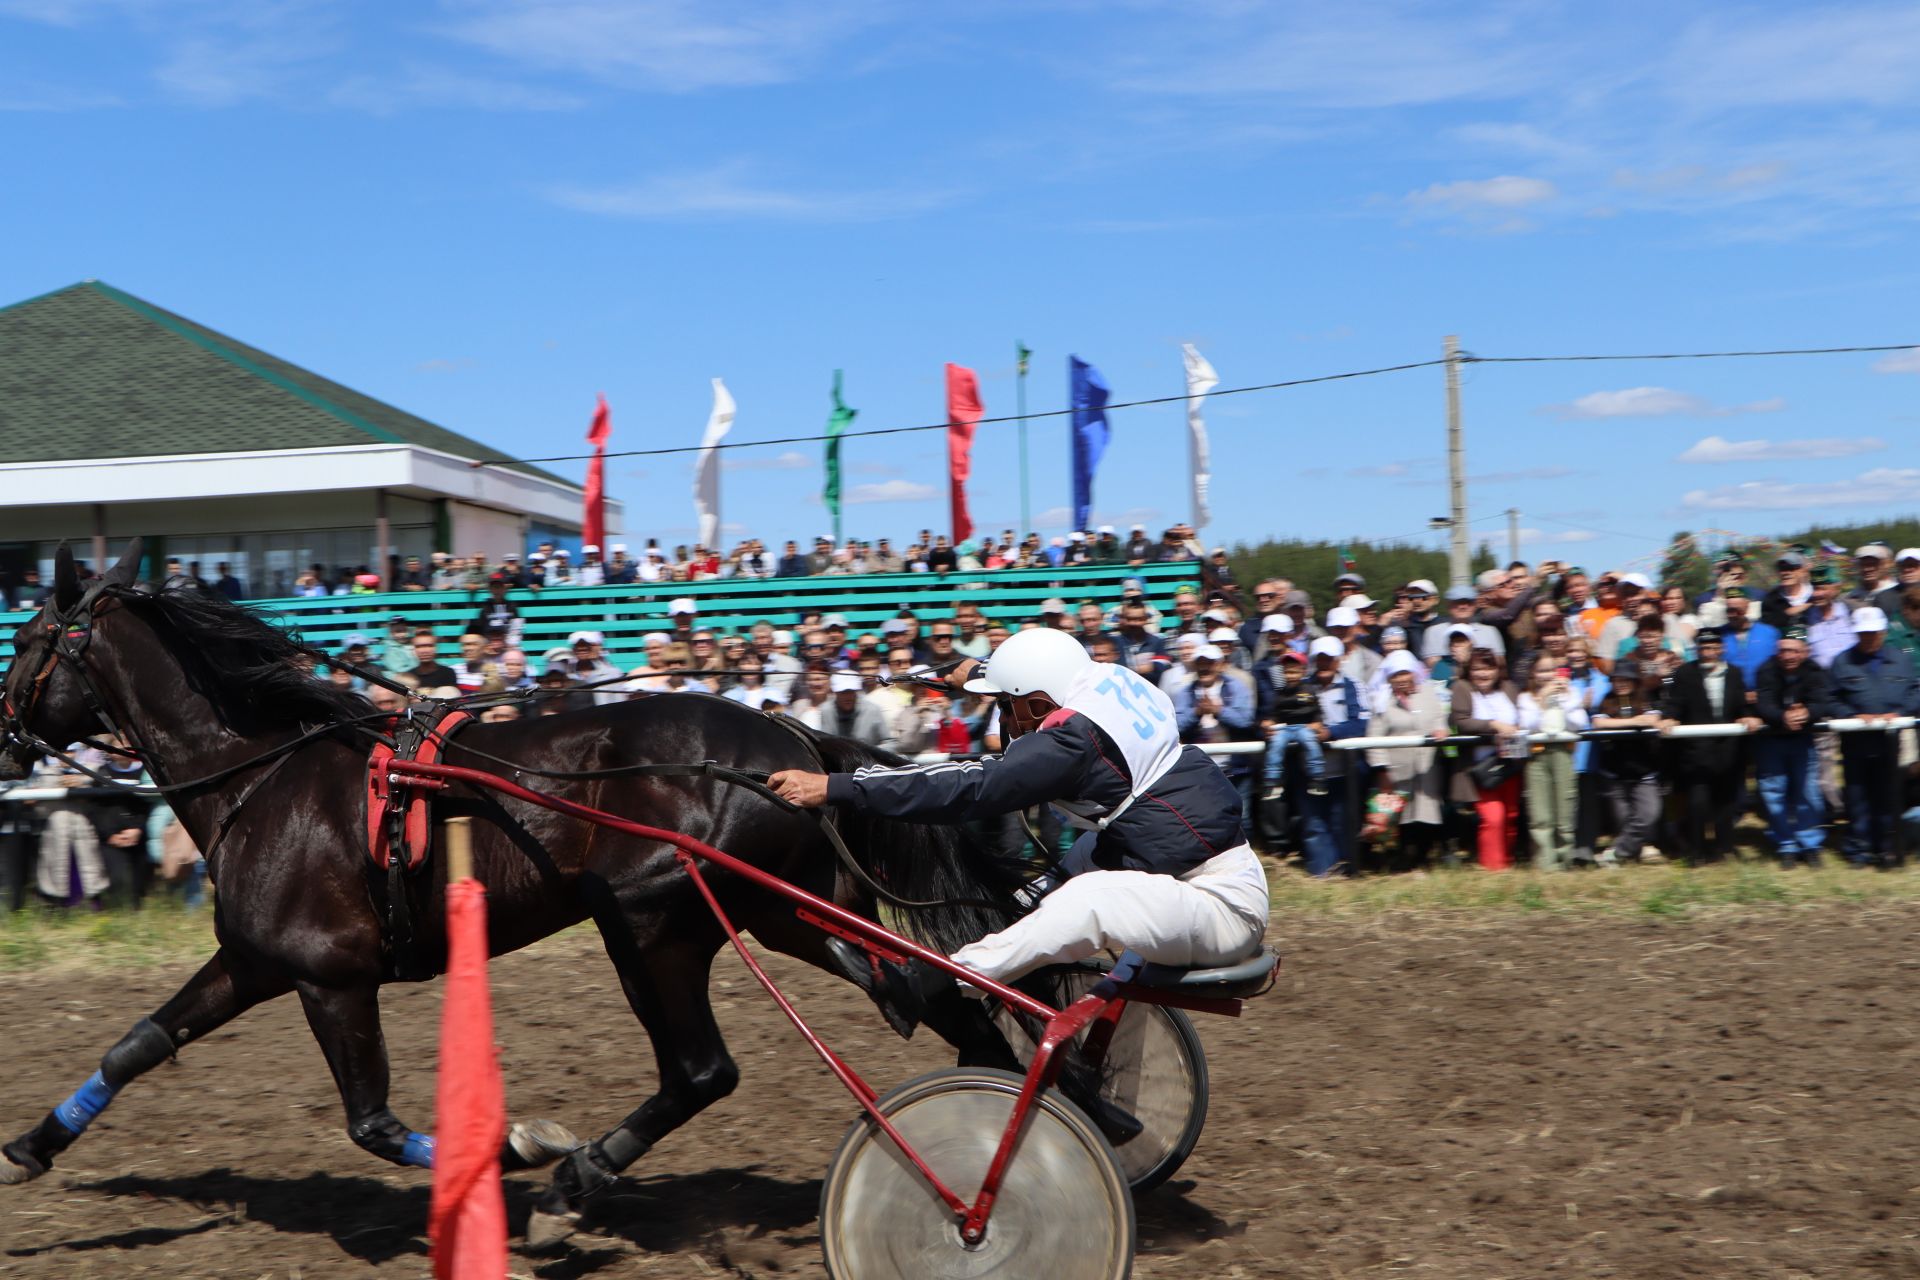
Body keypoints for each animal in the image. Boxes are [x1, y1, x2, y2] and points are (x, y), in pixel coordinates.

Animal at [0, 545, 1036, 1243]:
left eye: (30, 641)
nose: (6, 739)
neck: (265, 774)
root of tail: (794, 741)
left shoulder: (331, 977)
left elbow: (373, 1123)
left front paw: (517, 1153)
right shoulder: (257, 961)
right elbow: (138, 1044)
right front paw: (33, 1146)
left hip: (650, 920)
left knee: (703, 1070)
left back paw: (578, 1178)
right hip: (784, 910)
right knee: (931, 994)